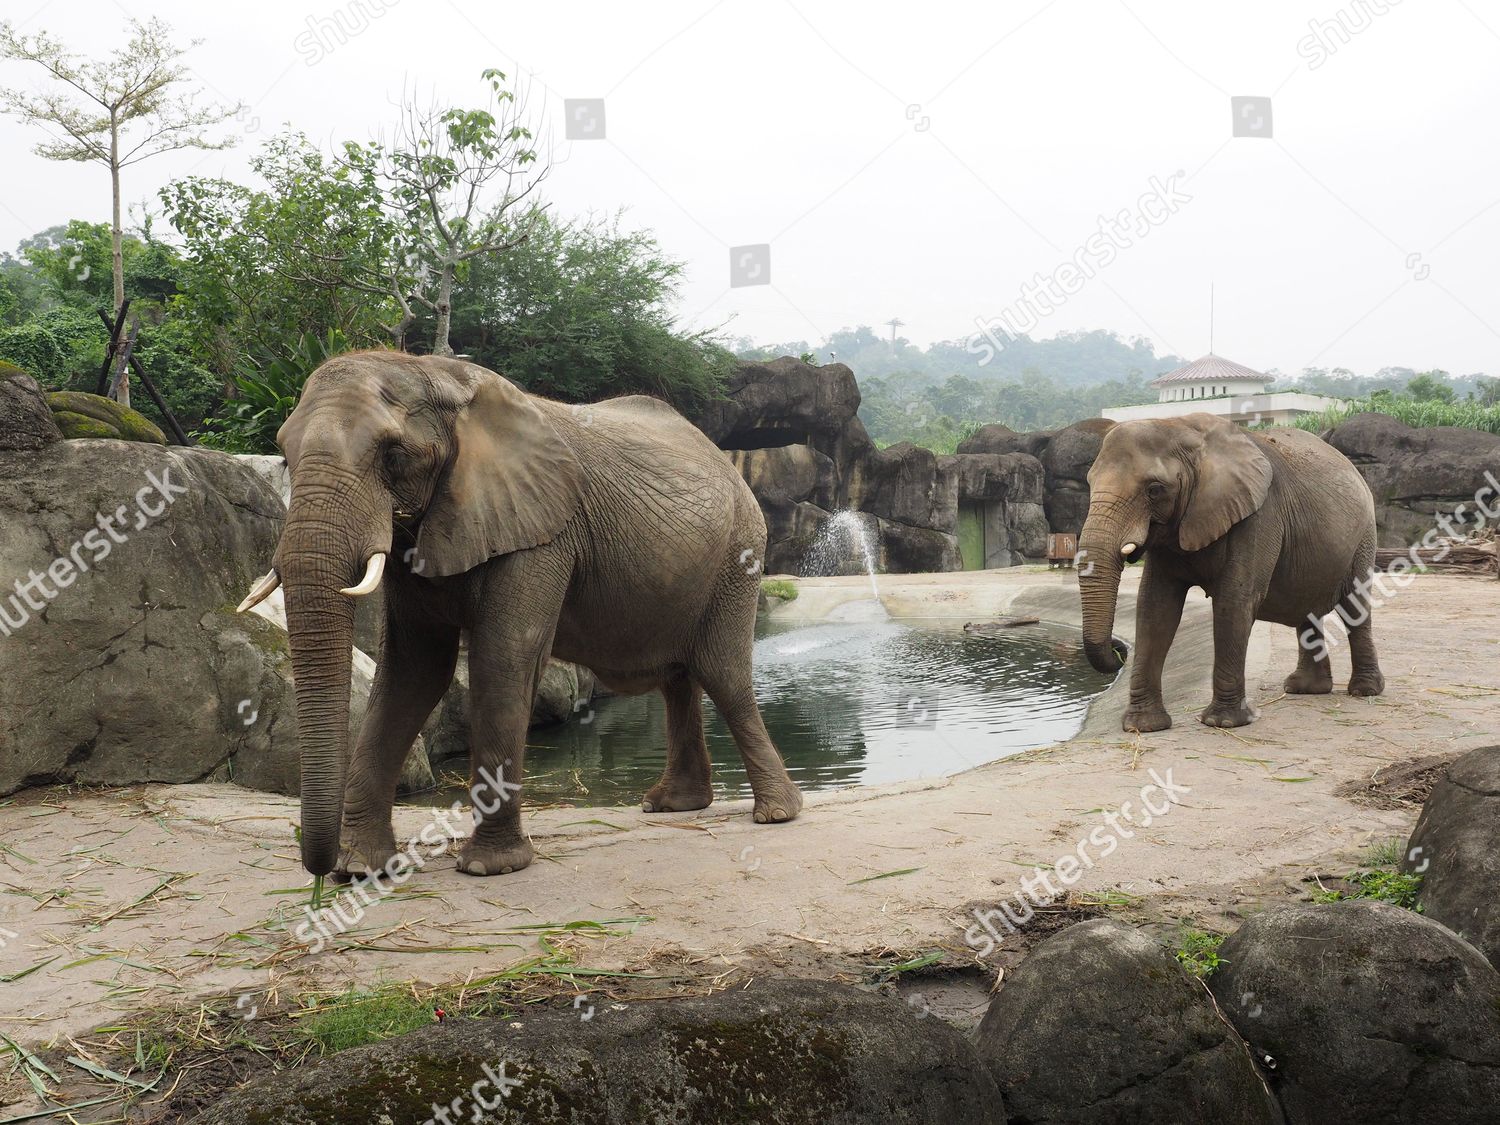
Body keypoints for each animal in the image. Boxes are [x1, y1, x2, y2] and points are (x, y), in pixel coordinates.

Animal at [240, 352, 804, 882]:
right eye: (285, 456)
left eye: (393, 455)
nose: (318, 869)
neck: (436, 376)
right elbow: (412, 673)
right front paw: (360, 870)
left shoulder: (541, 534)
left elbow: (504, 657)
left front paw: (490, 867)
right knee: (678, 678)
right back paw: (672, 805)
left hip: (738, 556)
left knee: (722, 673)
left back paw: (776, 814)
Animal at [1080, 414, 1380, 732]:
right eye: (1089, 482)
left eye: (1154, 489)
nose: (1118, 652)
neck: (1181, 427)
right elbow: (1155, 606)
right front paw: (1143, 726)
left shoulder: (1259, 515)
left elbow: (1234, 600)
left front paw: (1221, 722)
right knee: (1307, 611)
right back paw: (1305, 689)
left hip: (1364, 538)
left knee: (1355, 606)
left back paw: (1364, 690)